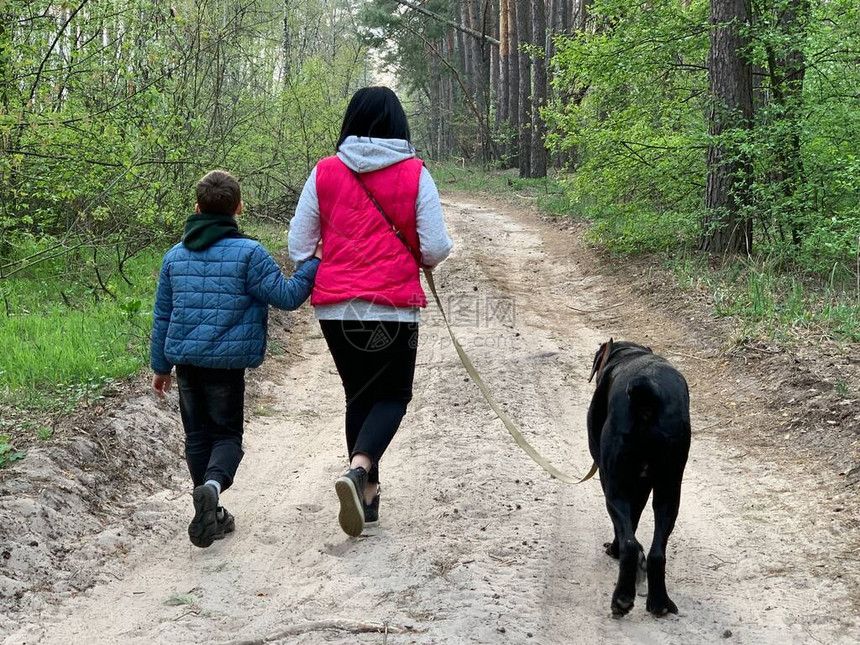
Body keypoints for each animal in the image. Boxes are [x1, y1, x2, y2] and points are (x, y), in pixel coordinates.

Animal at [588, 338, 688, 612]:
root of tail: (649, 392)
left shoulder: (611, 478)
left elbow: (626, 528)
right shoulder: (643, 485)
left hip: (615, 487)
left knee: (630, 544)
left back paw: (622, 597)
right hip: (669, 491)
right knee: (657, 552)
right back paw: (659, 603)